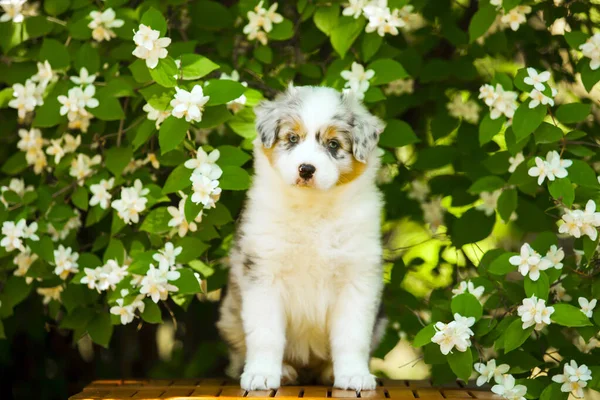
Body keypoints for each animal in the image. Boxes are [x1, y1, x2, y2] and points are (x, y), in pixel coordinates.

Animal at [218, 86, 386, 392]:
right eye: (292, 138)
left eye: (333, 144)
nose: (306, 169)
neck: (312, 208)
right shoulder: (263, 273)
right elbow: (266, 333)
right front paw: (261, 374)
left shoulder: (357, 278)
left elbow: (352, 336)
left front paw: (354, 375)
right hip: (229, 316)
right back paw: (284, 371)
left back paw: (330, 372)